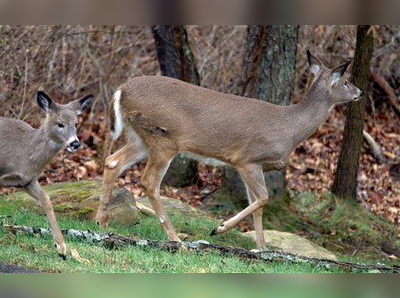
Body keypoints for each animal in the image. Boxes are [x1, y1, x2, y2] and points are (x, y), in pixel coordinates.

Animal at [0, 92, 93, 260]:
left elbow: (46, 199)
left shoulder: (27, 180)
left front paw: (61, 248)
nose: (75, 144)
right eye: (60, 124)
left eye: (76, 123)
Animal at [96, 51, 362, 249]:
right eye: (345, 81)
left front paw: (261, 249)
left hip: (140, 138)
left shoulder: (256, 165)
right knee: (149, 181)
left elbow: (257, 206)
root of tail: (121, 90)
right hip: (163, 139)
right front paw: (219, 228)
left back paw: (102, 223)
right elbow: (263, 198)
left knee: (112, 161)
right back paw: (175, 238)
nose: (359, 92)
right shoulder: (247, 159)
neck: (288, 128)